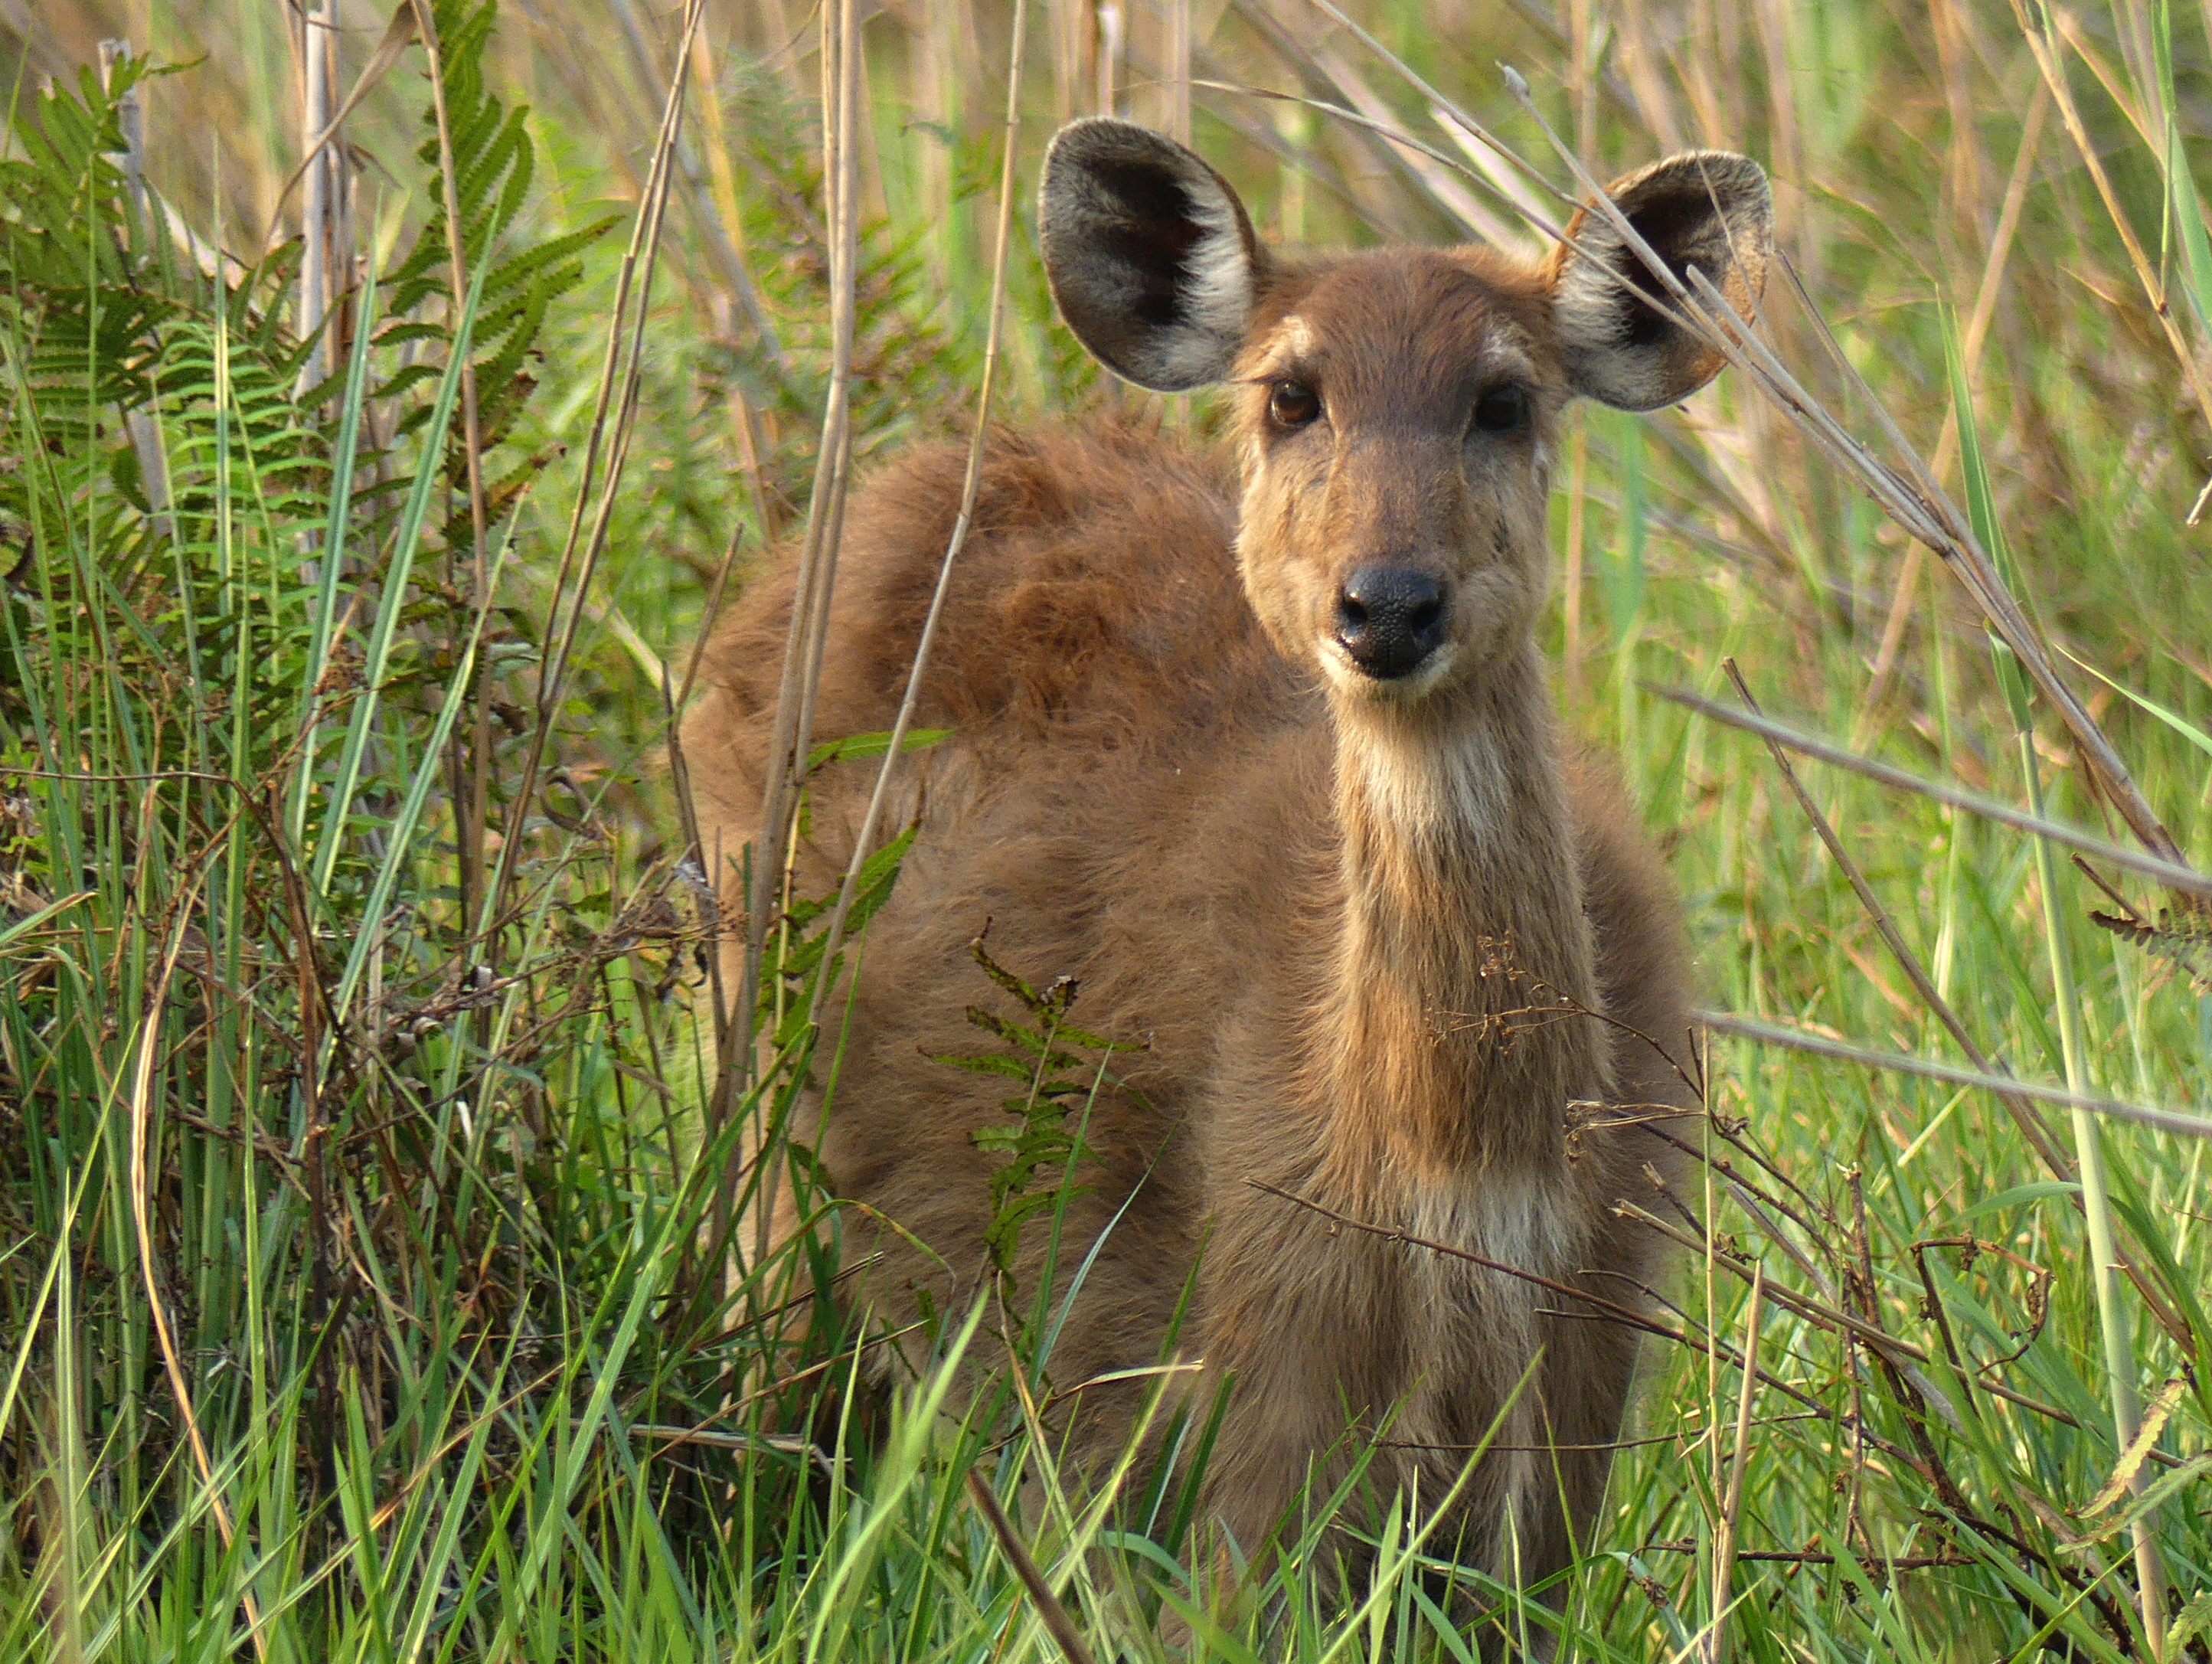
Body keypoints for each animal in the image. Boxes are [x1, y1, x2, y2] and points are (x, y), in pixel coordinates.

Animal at [681, 119, 1769, 1637]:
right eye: (1290, 394)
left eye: (1503, 398)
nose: (1387, 603)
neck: (1448, 1193)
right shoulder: (1243, 1405)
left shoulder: (1570, 1414)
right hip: (762, 1147)